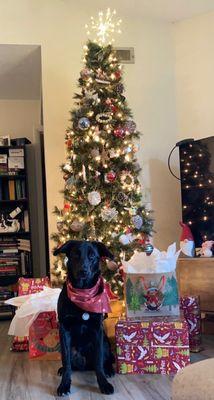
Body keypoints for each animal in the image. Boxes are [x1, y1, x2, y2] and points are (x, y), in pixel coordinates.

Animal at [54, 241, 116, 396]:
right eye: (75, 255)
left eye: (92, 256)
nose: (84, 271)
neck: (83, 293)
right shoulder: (64, 328)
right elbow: (66, 363)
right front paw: (64, 384)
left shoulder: (97, 329)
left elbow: (99, 362)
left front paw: (104, 384)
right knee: (70, 364)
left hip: (105, 343)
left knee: (105, 360)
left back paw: (109, 370)